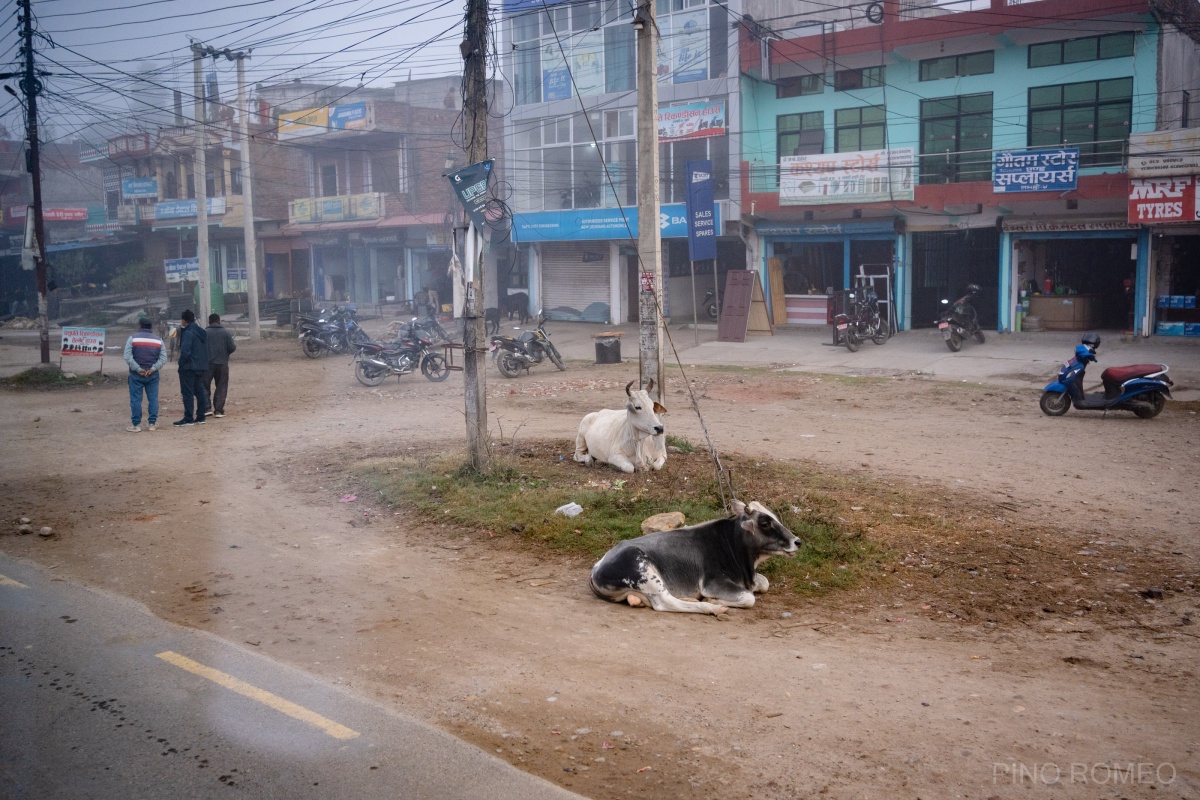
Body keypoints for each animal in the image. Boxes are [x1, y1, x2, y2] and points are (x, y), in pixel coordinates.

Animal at [588, 501, 801, 618]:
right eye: (765, 523)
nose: (797, 541)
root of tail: (596, 569)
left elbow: (764, 583)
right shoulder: (714, 582)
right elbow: (749, 598)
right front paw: (713, 600)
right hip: (646, 573)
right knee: (666, 603)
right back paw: (713, 607)